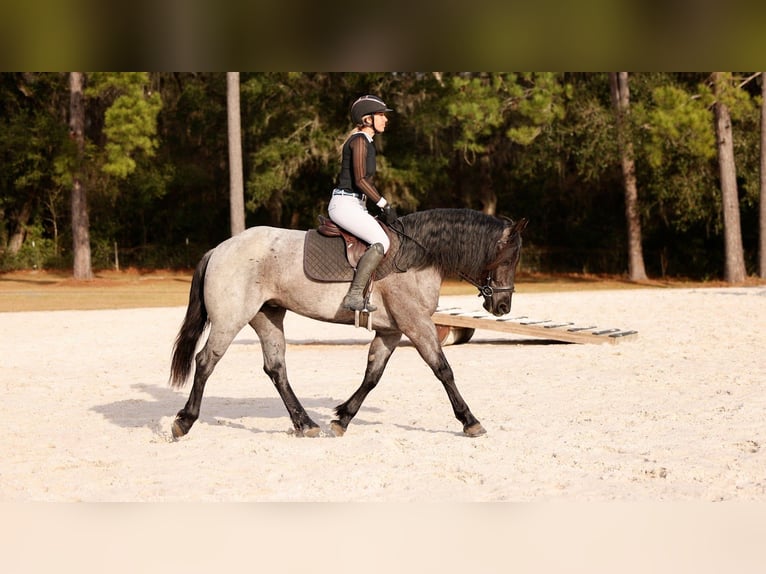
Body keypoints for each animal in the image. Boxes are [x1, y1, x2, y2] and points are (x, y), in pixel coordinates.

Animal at [169, 208, 527, 438]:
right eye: (509, 258)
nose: (503, 306)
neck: (416, 256)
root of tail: (220, 249)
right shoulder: (416, 324)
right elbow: (443, 369)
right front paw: (470, 421)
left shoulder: (391, 330)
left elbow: (373, 375)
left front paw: (342, 418)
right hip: (231, 319)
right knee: (206, 361)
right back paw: (184, 422)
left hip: (267, 316)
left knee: (276, 368)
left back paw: (306, 424)